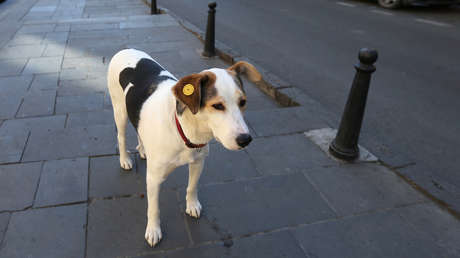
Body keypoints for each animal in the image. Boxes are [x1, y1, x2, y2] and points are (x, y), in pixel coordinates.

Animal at [106, 49, 260, 248]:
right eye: (217, 106)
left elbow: (192, 187)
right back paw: (125, 159)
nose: (245, 140)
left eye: (242, 102)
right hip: (120, 111)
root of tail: (124, 49)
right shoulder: (153, 178)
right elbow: (153, 208)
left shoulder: (198, 161)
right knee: (121, 137)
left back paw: (143, 149)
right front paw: (153, 230)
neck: (184, 129)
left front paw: (192, 205)